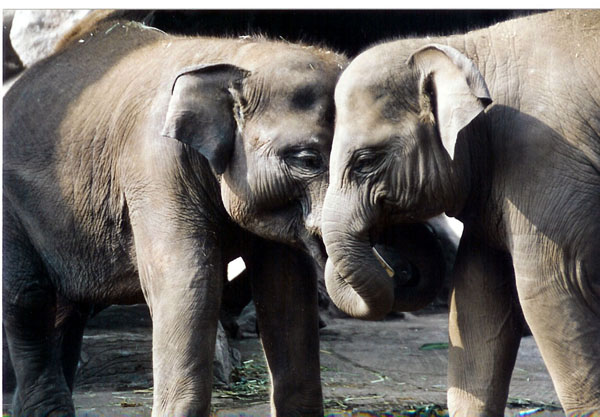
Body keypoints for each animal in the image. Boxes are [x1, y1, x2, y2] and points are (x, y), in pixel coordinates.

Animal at [2, 13, 346, 416]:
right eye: (308, 160)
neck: (235, 55)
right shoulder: (154, 166)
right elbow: (189, 282)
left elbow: (286, 289)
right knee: (30, 297)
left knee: (69, 310)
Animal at [324, 8, 600, 416]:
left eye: (365, 161)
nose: (396, 269)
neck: (464, 48)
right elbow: (475, 303)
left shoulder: (544, 159)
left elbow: (553, 292)